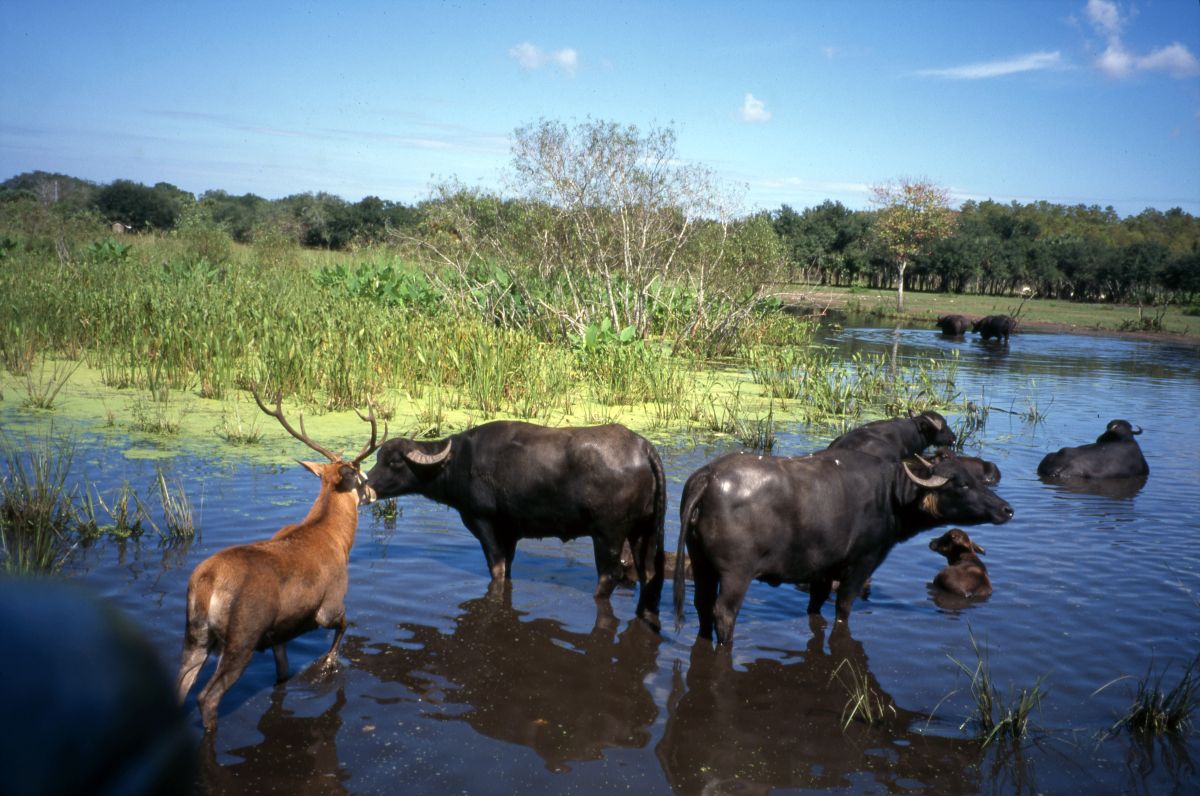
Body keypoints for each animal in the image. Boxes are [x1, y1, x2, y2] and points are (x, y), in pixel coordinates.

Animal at [175, 389, 385, 733]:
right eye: (362, 476)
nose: (375, 493)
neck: (340, 540)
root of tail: (207, 584)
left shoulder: (279, 634)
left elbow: (283, 674)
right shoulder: (329, 603)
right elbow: (343, 625)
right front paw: (329, 664)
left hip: (194, 635)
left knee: (179, 688)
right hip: (243, 634)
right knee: (207, 697)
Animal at [365, 421, 667, 627]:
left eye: (394, 462)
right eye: (379, 458)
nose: (366, 486)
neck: (457, 462)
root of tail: (643, 448)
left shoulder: (484, 523)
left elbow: (496, 569)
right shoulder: (509, 533)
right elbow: (507, 568)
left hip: (608, 534)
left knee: (610, 575)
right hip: (644, 530)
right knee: (650, 573)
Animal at [673, 449, 1013, 643]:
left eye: (977, 481)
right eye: (963, 485)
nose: (1006, 509)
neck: (891, 495)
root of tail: (709, 477)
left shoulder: (823, 569)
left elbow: (816, 604)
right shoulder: (861, 563)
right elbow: (844, 606)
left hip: (701, 563)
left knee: (702, 604)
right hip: (736, 573)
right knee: (723, 612)